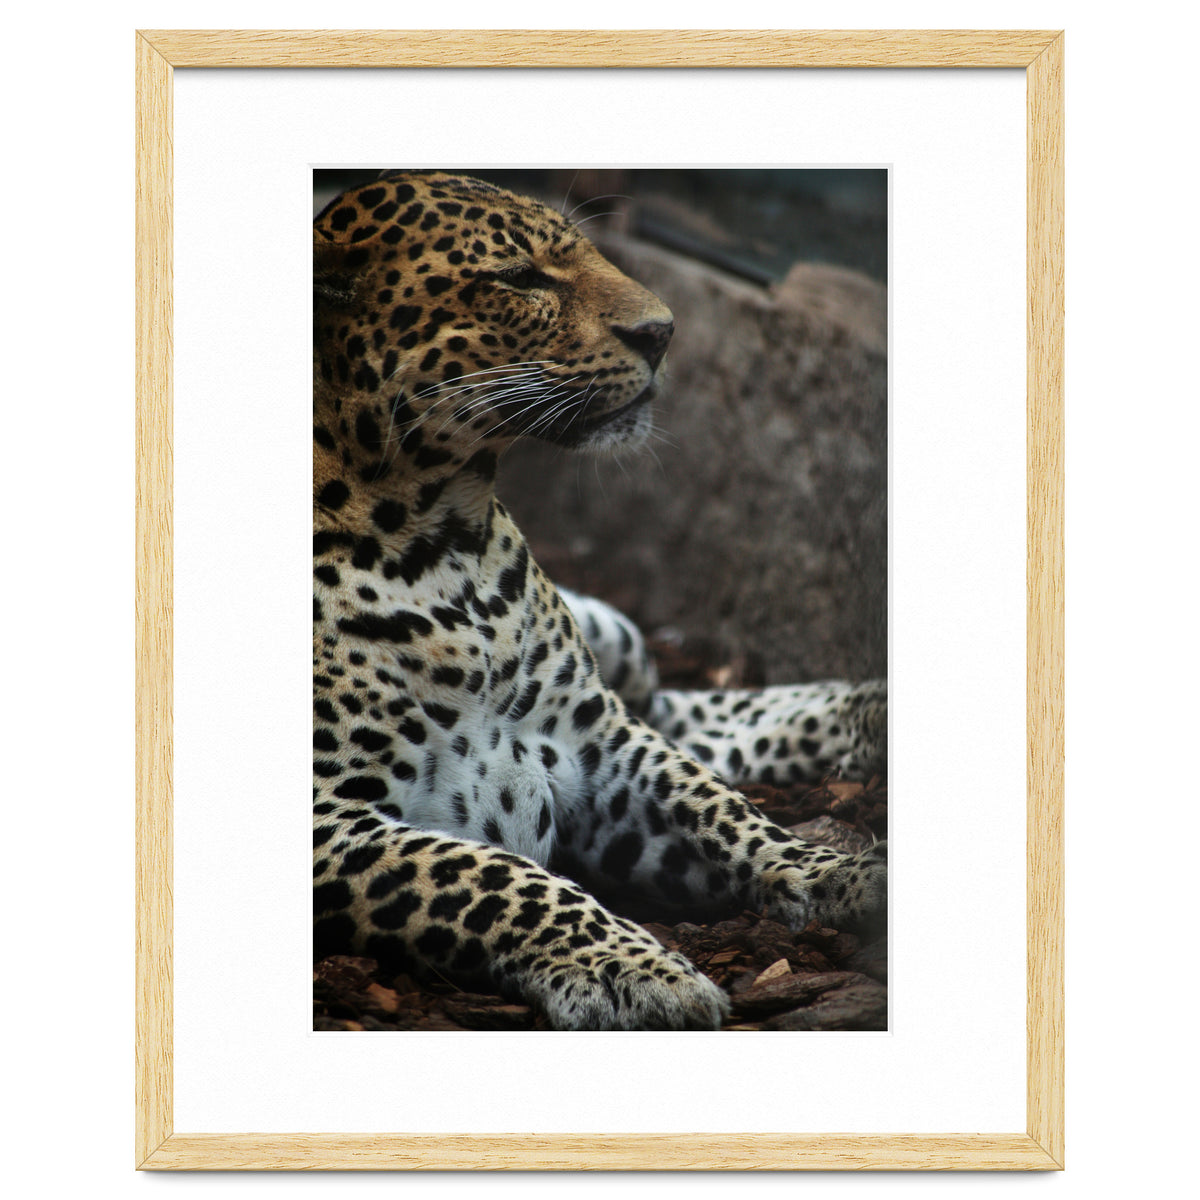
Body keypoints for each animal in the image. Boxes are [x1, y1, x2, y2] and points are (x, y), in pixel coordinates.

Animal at [313, 171, 887, 1030]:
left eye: (583, 252)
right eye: (519, 278)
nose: (664, 332)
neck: (444, 543)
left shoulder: (598, 742)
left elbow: (720, 808)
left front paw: (840, 874)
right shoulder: (328, 821)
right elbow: (492, 877)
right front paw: (634, 970)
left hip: (619, 648)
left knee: (678, 712)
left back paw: (870, 711)